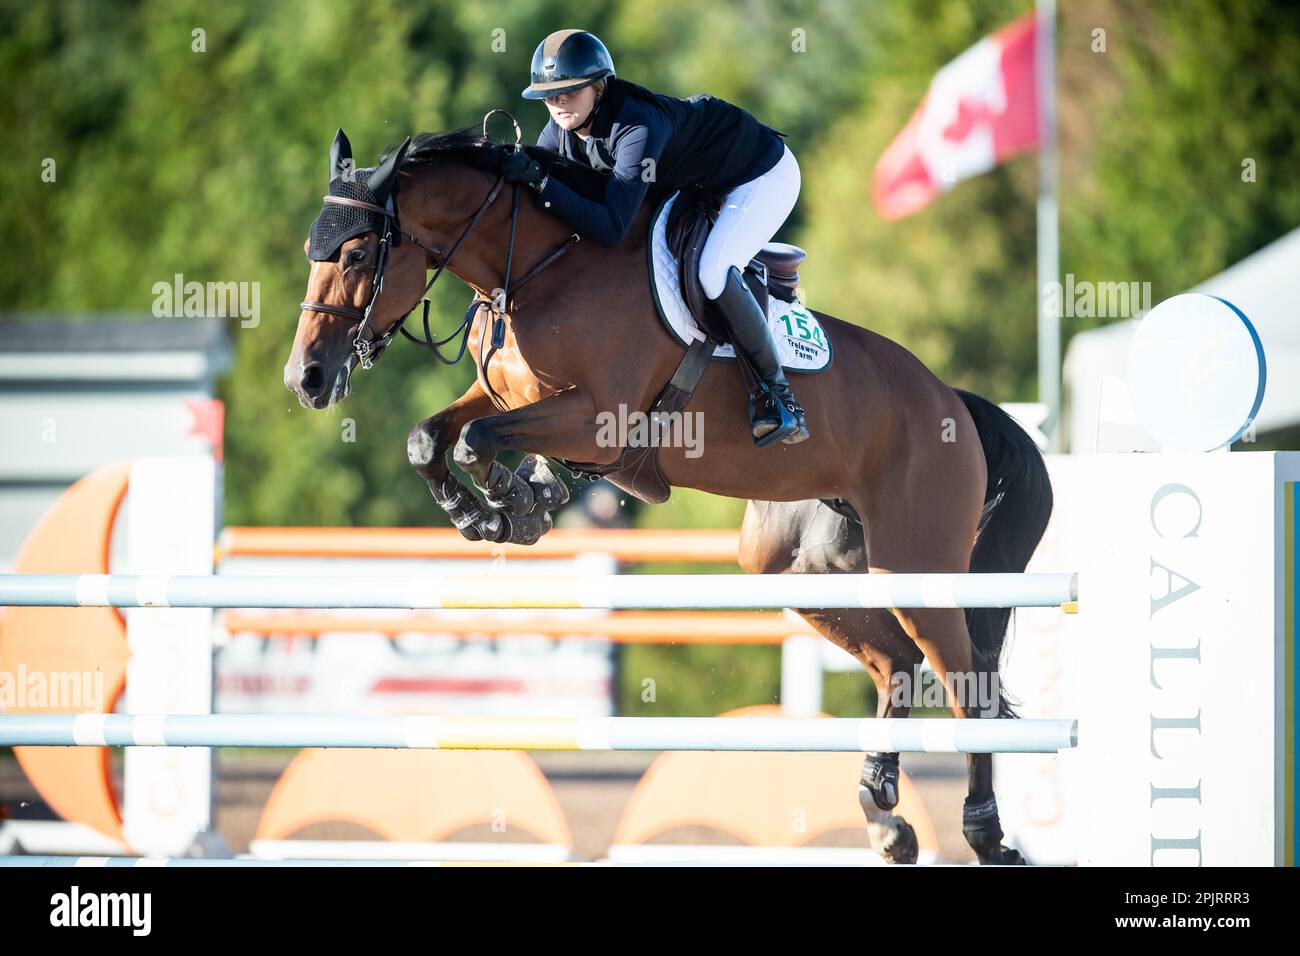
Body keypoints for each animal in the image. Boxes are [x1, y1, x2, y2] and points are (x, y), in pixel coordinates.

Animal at [287, 119, 1055, 868]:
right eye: (313, 253)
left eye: (356, 257)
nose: (307, 380)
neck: (537, 267)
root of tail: (950, 401)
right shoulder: (505, 395)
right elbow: (433, 437)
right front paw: (489, 511)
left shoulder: (599, 421)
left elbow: (478, 439)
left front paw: (516, 504)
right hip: (806, 565)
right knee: (896, 660)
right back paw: (884, 816)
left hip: (917, 564)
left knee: (967, 685)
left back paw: (986, 836)